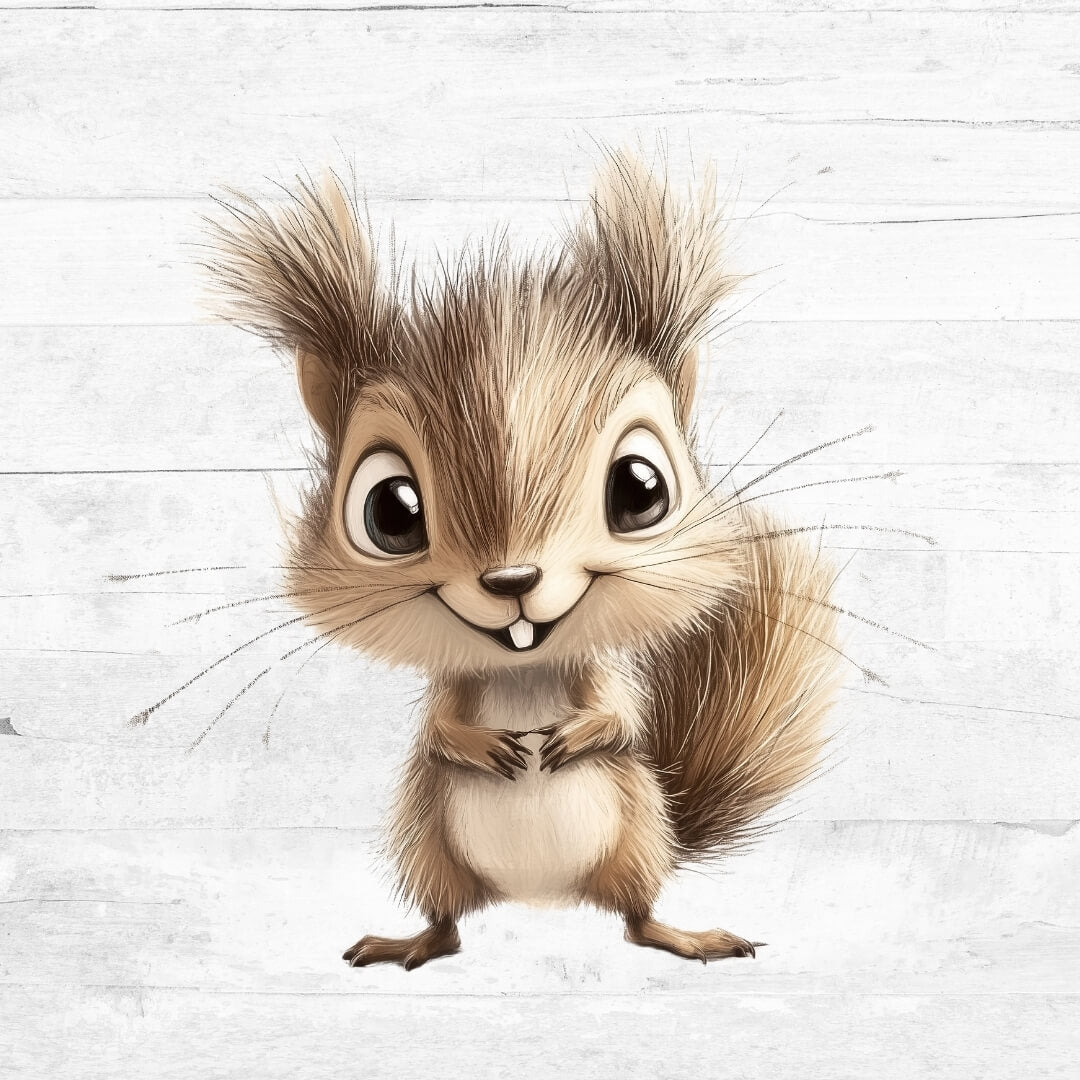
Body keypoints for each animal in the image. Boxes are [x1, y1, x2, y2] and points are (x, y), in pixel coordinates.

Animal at [203, 152, 843, 969]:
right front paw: (481, 745)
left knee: (636, 919)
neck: (523, 668)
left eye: (641, 488)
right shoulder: (450, 690)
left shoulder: (601, 678)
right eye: (389, 512)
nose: (512, 580)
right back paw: (410, 942)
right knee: (449, 922)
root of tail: (540, 897)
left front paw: (576, 736)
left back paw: (683, 935)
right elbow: (435, 731)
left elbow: (624, 720)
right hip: (431, 849)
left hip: (635, 834)